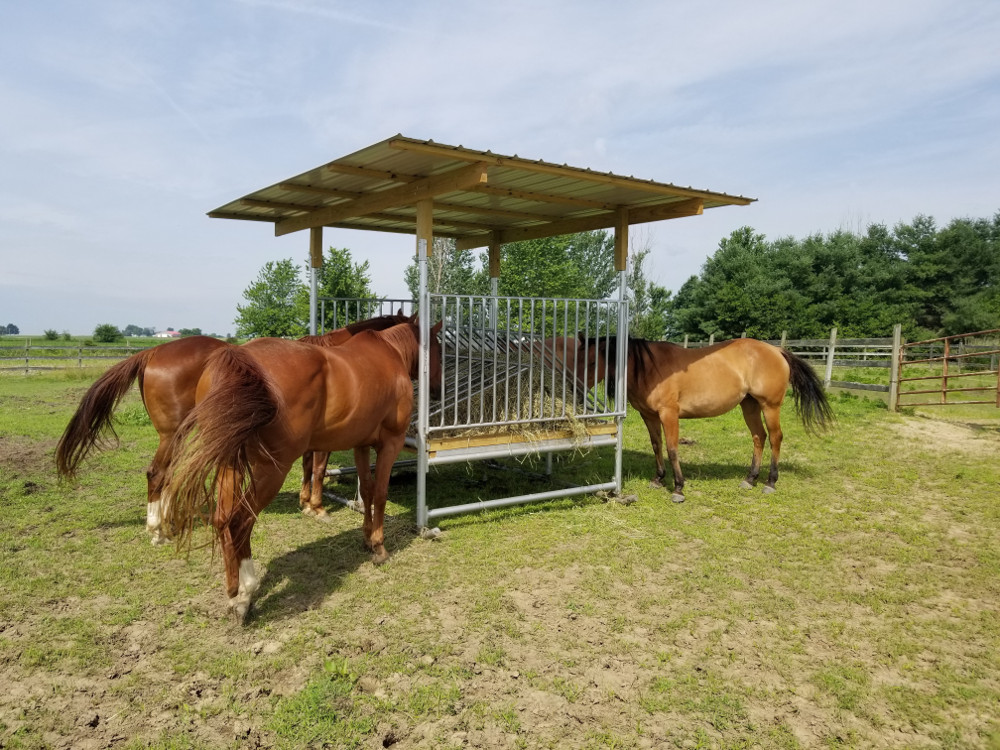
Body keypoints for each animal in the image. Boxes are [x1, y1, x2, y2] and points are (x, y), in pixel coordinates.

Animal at [55, 314, 410, 544]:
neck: (340, 363)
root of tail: (153, 351)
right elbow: (319, 467)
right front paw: (316, 507)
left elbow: (309, 466)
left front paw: (306, 502)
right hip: (175, 434)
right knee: (159, 474)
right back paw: (158, 529)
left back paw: (166, 523)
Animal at [163, 322, 442, 624]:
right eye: (440, 346)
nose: (437, 390)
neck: (389, 353)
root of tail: (238, 359)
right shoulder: (390, 443)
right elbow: (379, 494)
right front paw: (379, 547)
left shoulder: (361, 445)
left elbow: (366, 492)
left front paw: (367, 538)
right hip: (270, 470)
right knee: (240, 521)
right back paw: (245, 595)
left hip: (230, 465)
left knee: (222, 520)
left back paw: (233, 592)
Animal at [576, 336, 832, 502]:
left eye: (593, 362)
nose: (576, 390)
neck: (649, 368)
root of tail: (777, 351)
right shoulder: (648, 415)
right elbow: (657, 445)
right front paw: (658, 479)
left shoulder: (669, 414)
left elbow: (672, 449)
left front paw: (678, 488)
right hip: (749, 405)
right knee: (759, 437)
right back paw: (750, 479)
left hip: (770, 406)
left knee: (775, 438)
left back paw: (770, 482)